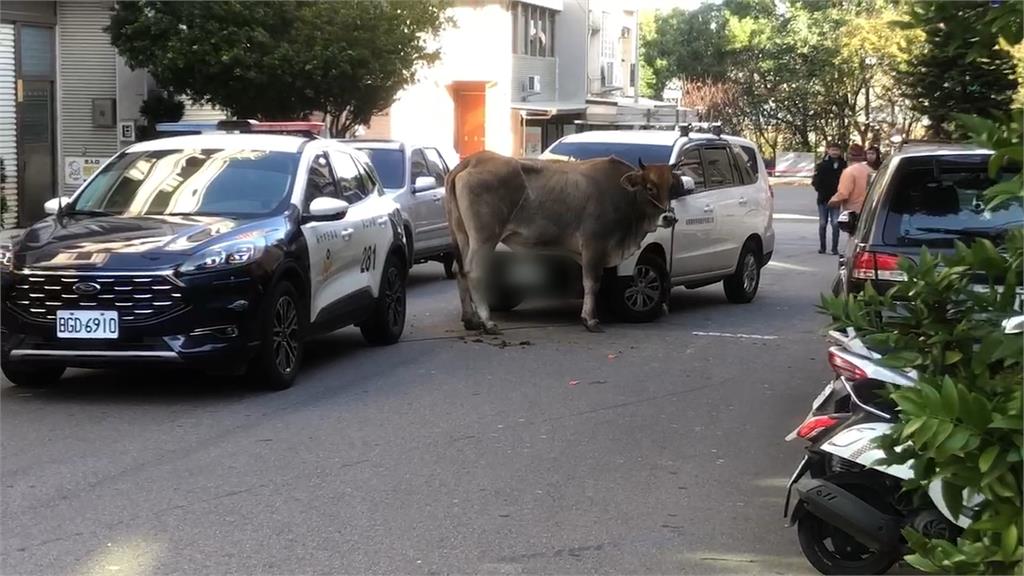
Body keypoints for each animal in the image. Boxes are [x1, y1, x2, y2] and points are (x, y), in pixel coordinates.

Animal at [446, 148, 679, 332]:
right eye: (650, 187)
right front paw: (590, 320)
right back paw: (487, 322)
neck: (621, 193)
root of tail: (473, 160)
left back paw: (470, 319)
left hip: (463, 235)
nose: (669, 217)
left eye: (671, 188)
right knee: (474, 272)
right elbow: (592, 282)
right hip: (484, 237)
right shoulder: (594, 244)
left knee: (460, 270)